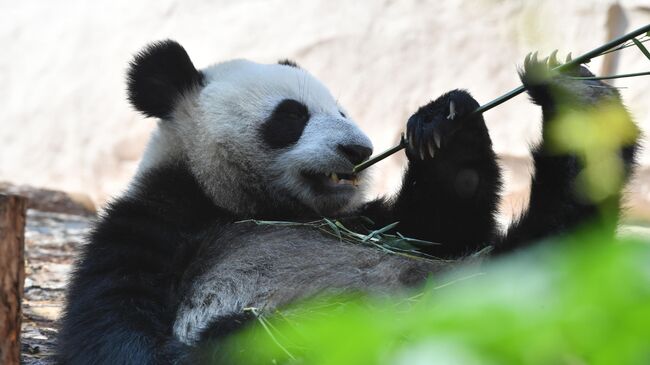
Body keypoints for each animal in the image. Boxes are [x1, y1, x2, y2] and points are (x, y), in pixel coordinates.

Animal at [57, 39, 636, 362]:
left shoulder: (365, 220)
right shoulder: (154, 224)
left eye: (340, 108)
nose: (358, 149)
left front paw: (443, 121)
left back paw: (580, 101)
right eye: (291, 116)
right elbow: (117, 341)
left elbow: (442, 224)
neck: (245, 204)